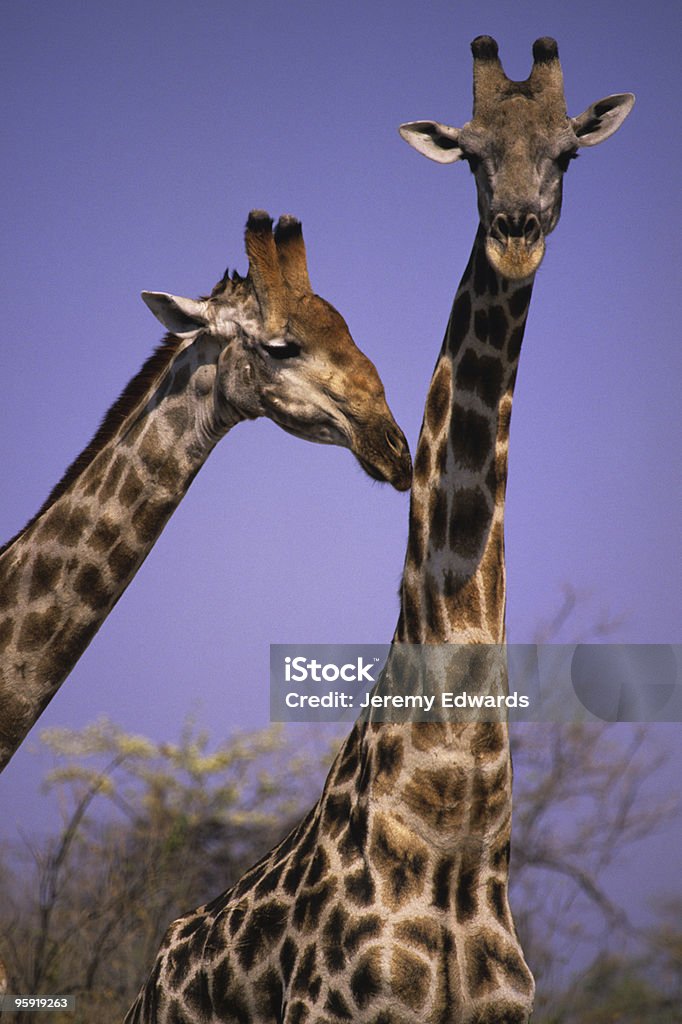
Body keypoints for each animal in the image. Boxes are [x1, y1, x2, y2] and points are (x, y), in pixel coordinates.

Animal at [124, 37, 630, 1024]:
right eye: (471, 153)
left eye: (567, 154)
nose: (516, 233)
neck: (452, 825)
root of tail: (159, 963)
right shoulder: (336, 1009)